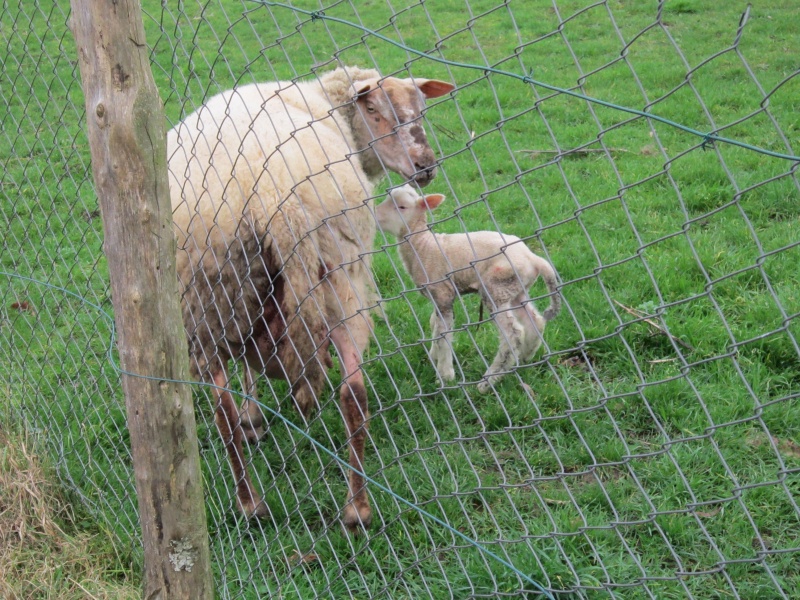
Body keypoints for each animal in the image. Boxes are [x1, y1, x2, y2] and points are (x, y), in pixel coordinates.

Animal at [167, 65, 456, 528]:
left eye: (421, 109)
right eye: (373, 110)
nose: (425, 167)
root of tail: (274, 199)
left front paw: (252, 419)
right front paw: (255, 418)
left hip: (209, 295)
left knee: (221, 407)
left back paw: (250, 503)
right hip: (337, 277)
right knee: (352, 393)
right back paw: (357, 510)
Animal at [372, 186, 560, 394]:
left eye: (402, 207)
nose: (373, 214)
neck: (423, 246)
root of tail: (534, 259)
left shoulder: (443, 293)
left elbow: (443, 335)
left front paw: (445, 376)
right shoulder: (438, 297)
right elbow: (434, 324)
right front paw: (434, 356)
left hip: (495, 288)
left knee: (513, 335)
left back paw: (488, 381)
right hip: (514, 290)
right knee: (535, 321)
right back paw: (526, 356)